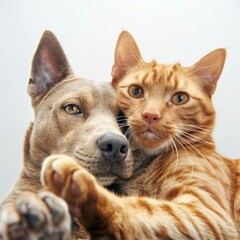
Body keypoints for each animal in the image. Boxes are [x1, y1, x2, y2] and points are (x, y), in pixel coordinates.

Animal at [41, 31, 240, 239]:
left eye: (180, 98)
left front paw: (75, 184)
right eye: (136, 91)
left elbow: (140, 207)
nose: (151, 115)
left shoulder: (208, 214)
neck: (145, 165)